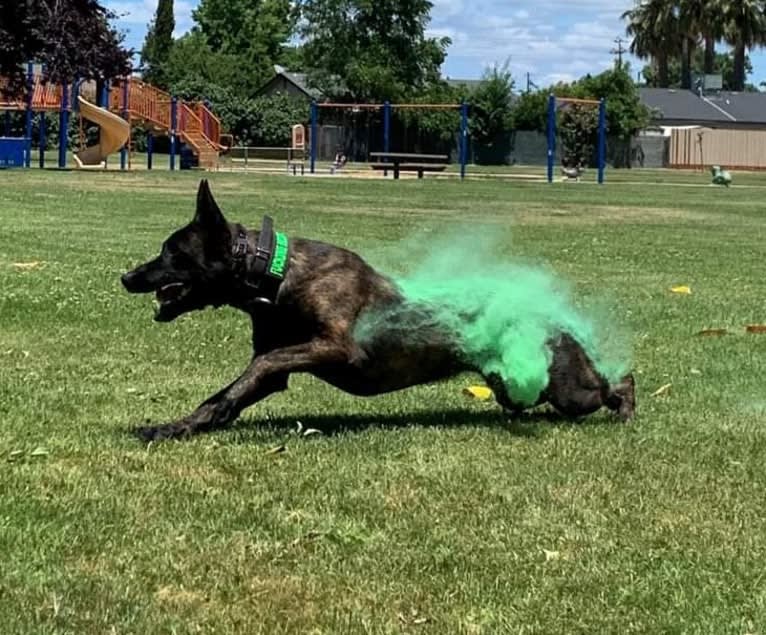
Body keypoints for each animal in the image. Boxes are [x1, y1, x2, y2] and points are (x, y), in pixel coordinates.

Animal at [121, 176, 636, 440]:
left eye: (172, 253)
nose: (126, 277)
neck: (277, 273)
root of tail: (553, 320)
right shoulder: (274, 370)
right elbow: (225, 394)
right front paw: (172, 427)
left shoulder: (335, 346)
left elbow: (264, 363)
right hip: (515, 385)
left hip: (570, 389)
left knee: (615, 383)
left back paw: (626, 405)